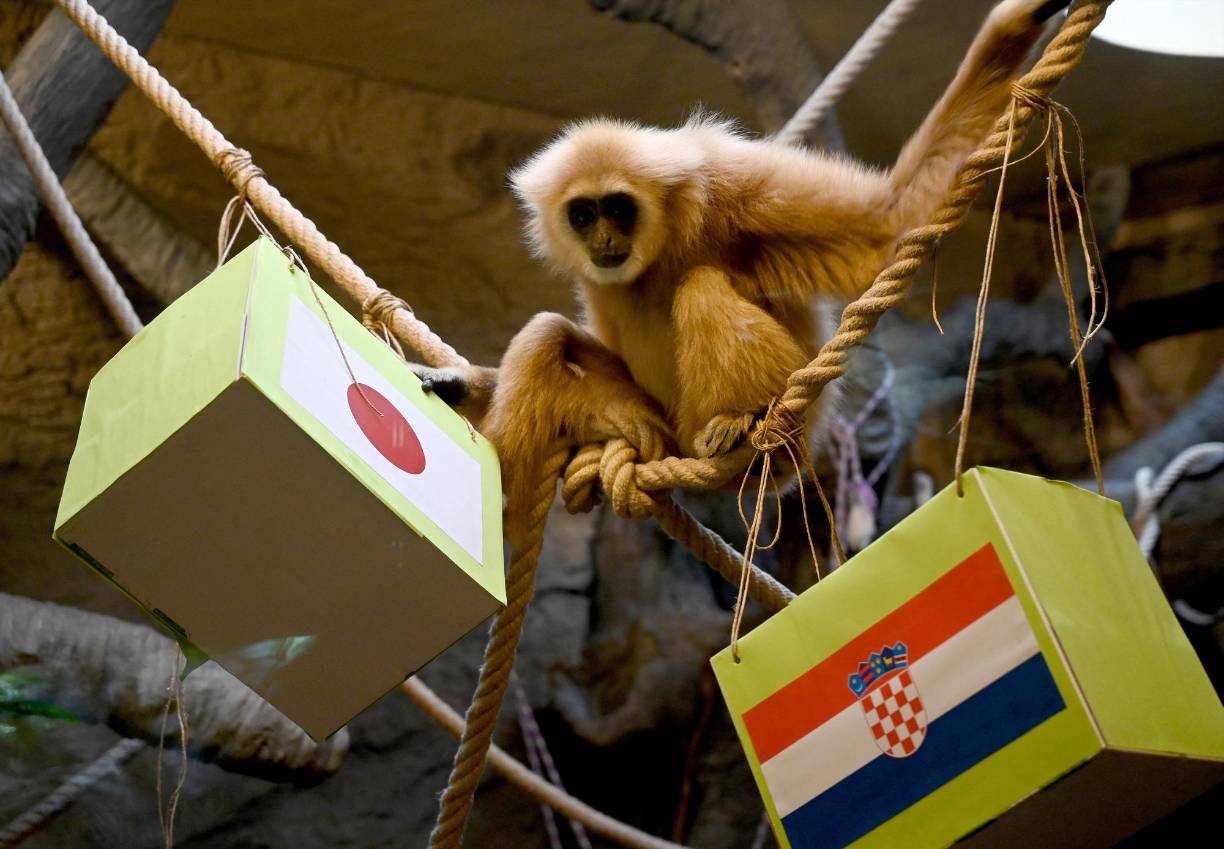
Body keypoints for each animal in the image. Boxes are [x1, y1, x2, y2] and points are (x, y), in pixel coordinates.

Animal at [415, 0, 1071, 517]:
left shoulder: (731, 181)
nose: (602, 239)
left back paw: (739, 424)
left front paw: (1014, 25)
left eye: (619, 209)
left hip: (777, 438)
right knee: (548, 334)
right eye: (582, 214)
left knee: (699, 287)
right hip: (660, 427)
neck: (665, 239)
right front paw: (461, 383)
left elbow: (888, 222)